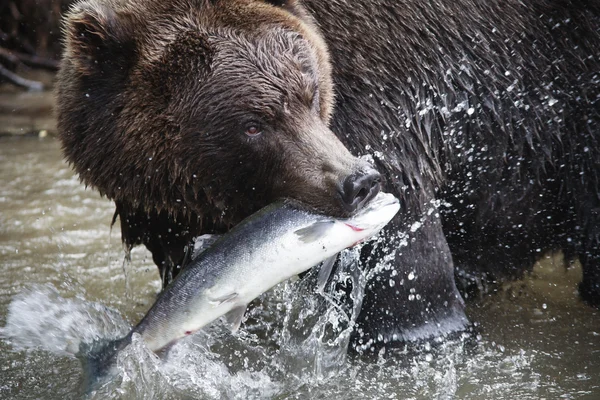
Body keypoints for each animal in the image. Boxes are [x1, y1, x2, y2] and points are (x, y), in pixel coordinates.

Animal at [55, 0, 596, 350]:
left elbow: (411, 284)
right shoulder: (166, 212)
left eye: (309, 92)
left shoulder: (388, 114)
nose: (358, 182)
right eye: (252, 124)